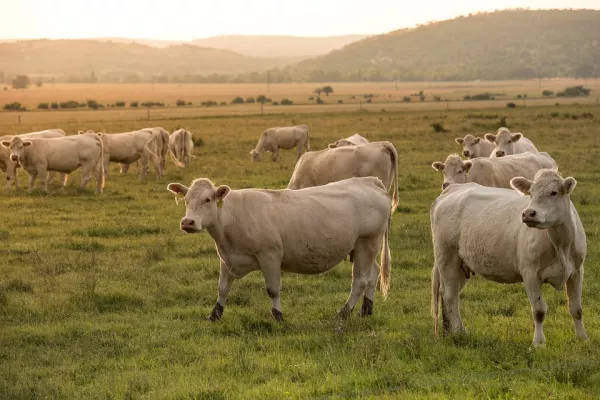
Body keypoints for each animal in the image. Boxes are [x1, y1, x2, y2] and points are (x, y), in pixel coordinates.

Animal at [169, 177, 392, 322]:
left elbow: (273, 289)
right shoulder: (227, 258)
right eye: (186, 200)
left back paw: (342, 314)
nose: (187, 222)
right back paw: (366, 310)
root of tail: (369, 181)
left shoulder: (270, 256)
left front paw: (278, 316)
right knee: (372, 274)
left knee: (360, 281)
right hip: (363, 248)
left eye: (207, 200)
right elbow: (222, 288)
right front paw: (215, 314)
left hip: (366, 243)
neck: (232, 216)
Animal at [428, 169, 588, 346]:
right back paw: (458, 333)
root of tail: (453, 188)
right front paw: (538, 343)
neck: (561, 245)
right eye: (530, 193)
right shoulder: (530, 274)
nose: (528, 213)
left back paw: (452, 331)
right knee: (449, 295)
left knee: (451, 294)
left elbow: (576, 308)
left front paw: (582, 338)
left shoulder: (577, 272)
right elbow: (539, 311)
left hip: (461, 265)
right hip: (447, 257)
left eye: (553, 192)